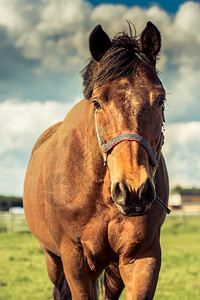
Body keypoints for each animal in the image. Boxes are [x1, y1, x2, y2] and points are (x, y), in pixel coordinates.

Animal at [24, 21, 170, 300]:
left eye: (160, 99)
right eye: (97, 102)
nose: (133, 191)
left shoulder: (141, 258)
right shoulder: (76, 261)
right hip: (52, 258)